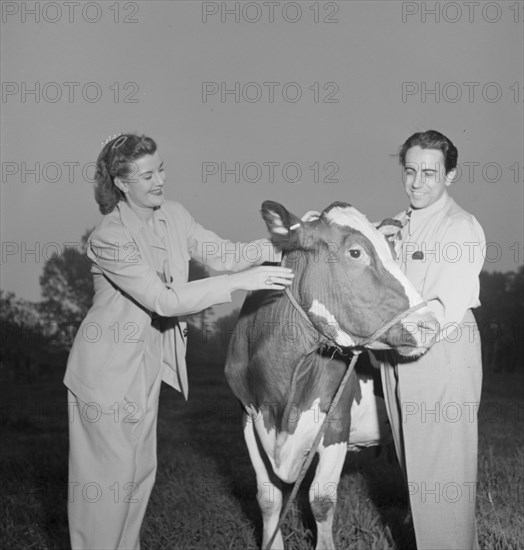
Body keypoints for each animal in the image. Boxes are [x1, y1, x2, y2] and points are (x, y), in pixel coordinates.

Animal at [224, 203, 434, 550]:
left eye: (392, 252)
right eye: (355, 252)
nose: (431, 322)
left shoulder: (335, 423)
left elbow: (321, 500)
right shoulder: (247, 419)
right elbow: (268, 498)